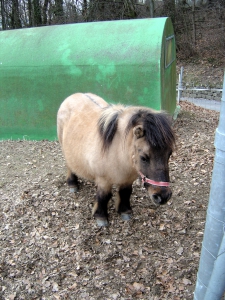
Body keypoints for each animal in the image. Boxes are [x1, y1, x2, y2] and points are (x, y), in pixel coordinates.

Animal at [56, 92, 176, 226]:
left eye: (169, 154)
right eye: (144, 157)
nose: (163, 196)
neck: (117, 151)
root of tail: (73, 95)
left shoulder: (128, 179)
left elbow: (125, 193)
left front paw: (125, 211)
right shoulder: (104, 181)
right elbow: (103, 197)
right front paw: (101, 217)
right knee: (69, 165)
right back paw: (72, 184)